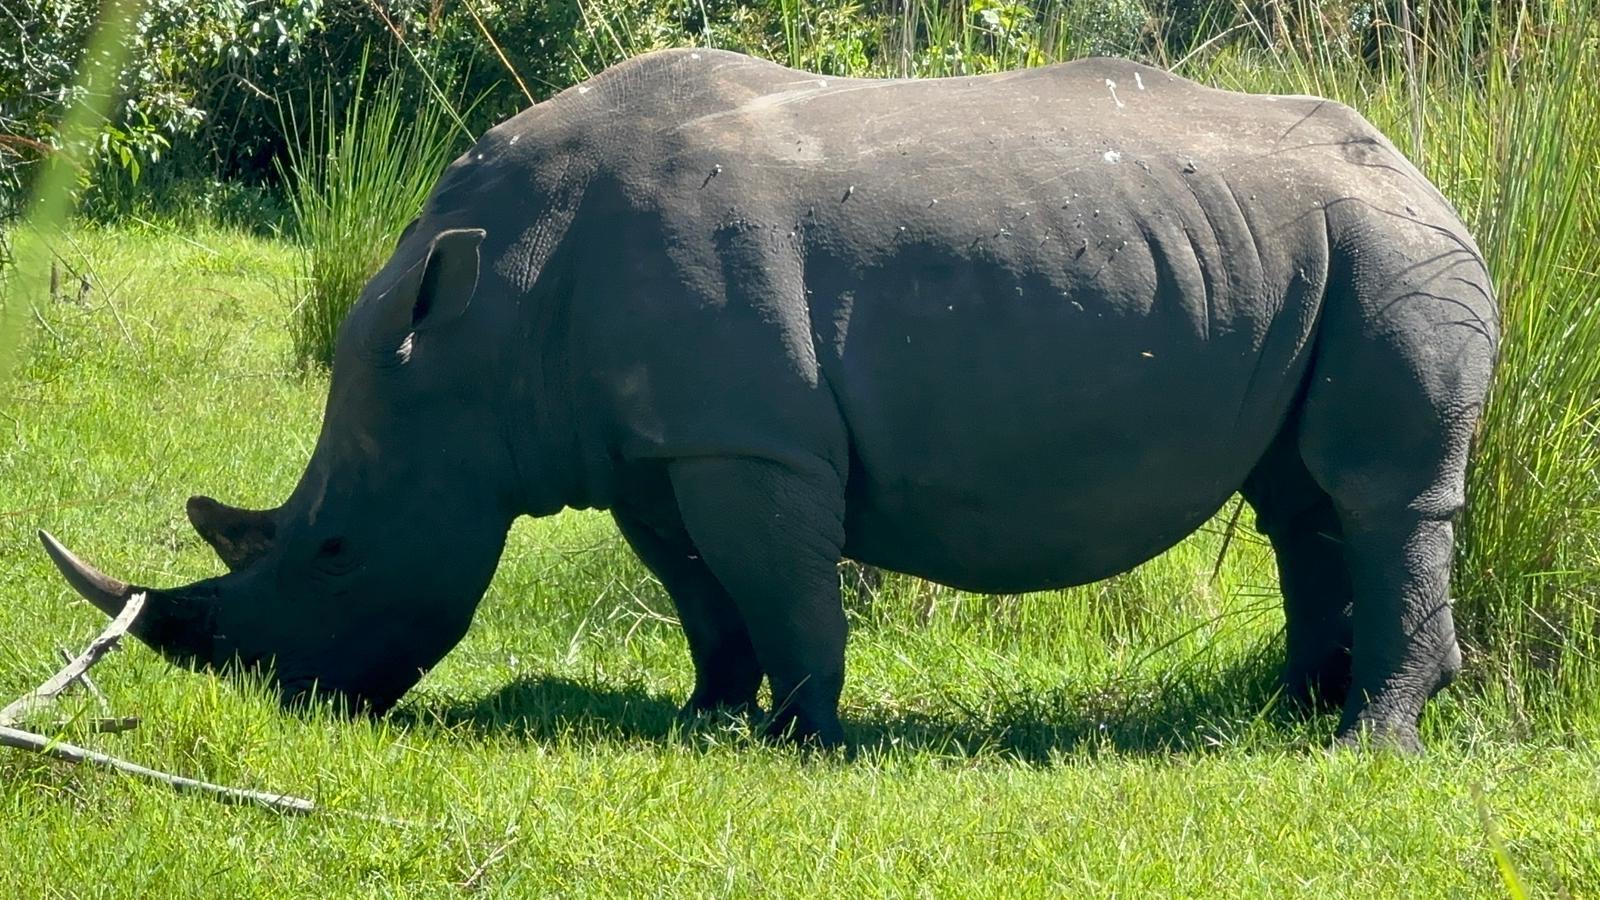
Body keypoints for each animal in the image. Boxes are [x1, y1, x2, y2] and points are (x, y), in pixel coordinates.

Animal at [42, 49, 1497, 751]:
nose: (279, 703)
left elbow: (782, 588)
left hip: (1392, 245)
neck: (485, 322)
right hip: (1314, 248)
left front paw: (799, 736)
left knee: (1381, 493)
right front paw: (703, 719)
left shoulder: (750, 445)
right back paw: (1288, 716)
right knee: (1300, 499)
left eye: (336, 549)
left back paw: (1363, 746)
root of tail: (1424, 170)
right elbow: (699, 590)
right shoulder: (652, 449)